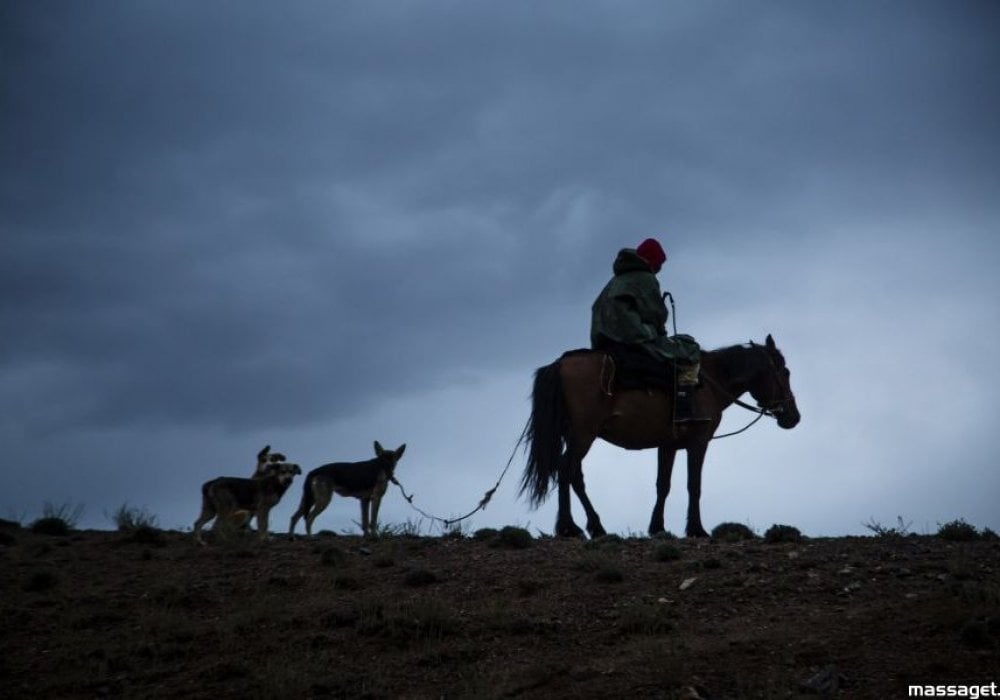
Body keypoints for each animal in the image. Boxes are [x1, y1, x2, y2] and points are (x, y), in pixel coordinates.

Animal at [520, 336, 800, 540]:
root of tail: (560, 364)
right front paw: (696, 529)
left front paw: (657, 527)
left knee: (575, 476)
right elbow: (694, 485)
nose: (793, 417)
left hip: (577, 437)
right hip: (583, 435)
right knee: (565, 470)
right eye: (785, 372)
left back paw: (596, 527)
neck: (712, 381)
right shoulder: (698, 442)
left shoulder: (668, 445)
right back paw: (569, 528)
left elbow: (663, 485)